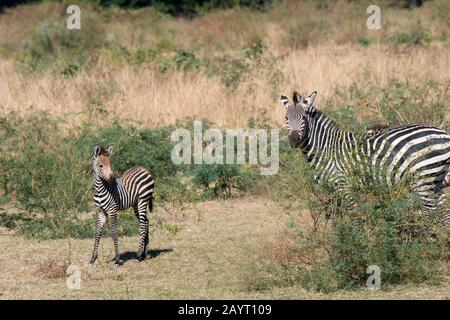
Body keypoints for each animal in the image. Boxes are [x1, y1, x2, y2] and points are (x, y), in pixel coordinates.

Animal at [280, 89, 448, 226]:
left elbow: (353, 216)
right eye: (286, 119)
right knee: (443, 212)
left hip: (424, 178)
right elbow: (337, 217)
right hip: (434, 180)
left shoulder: (343, 184)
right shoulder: (335, 190)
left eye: (303, 118)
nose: (294, 140)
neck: (327, 146)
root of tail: (444, 133)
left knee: (431, 213)